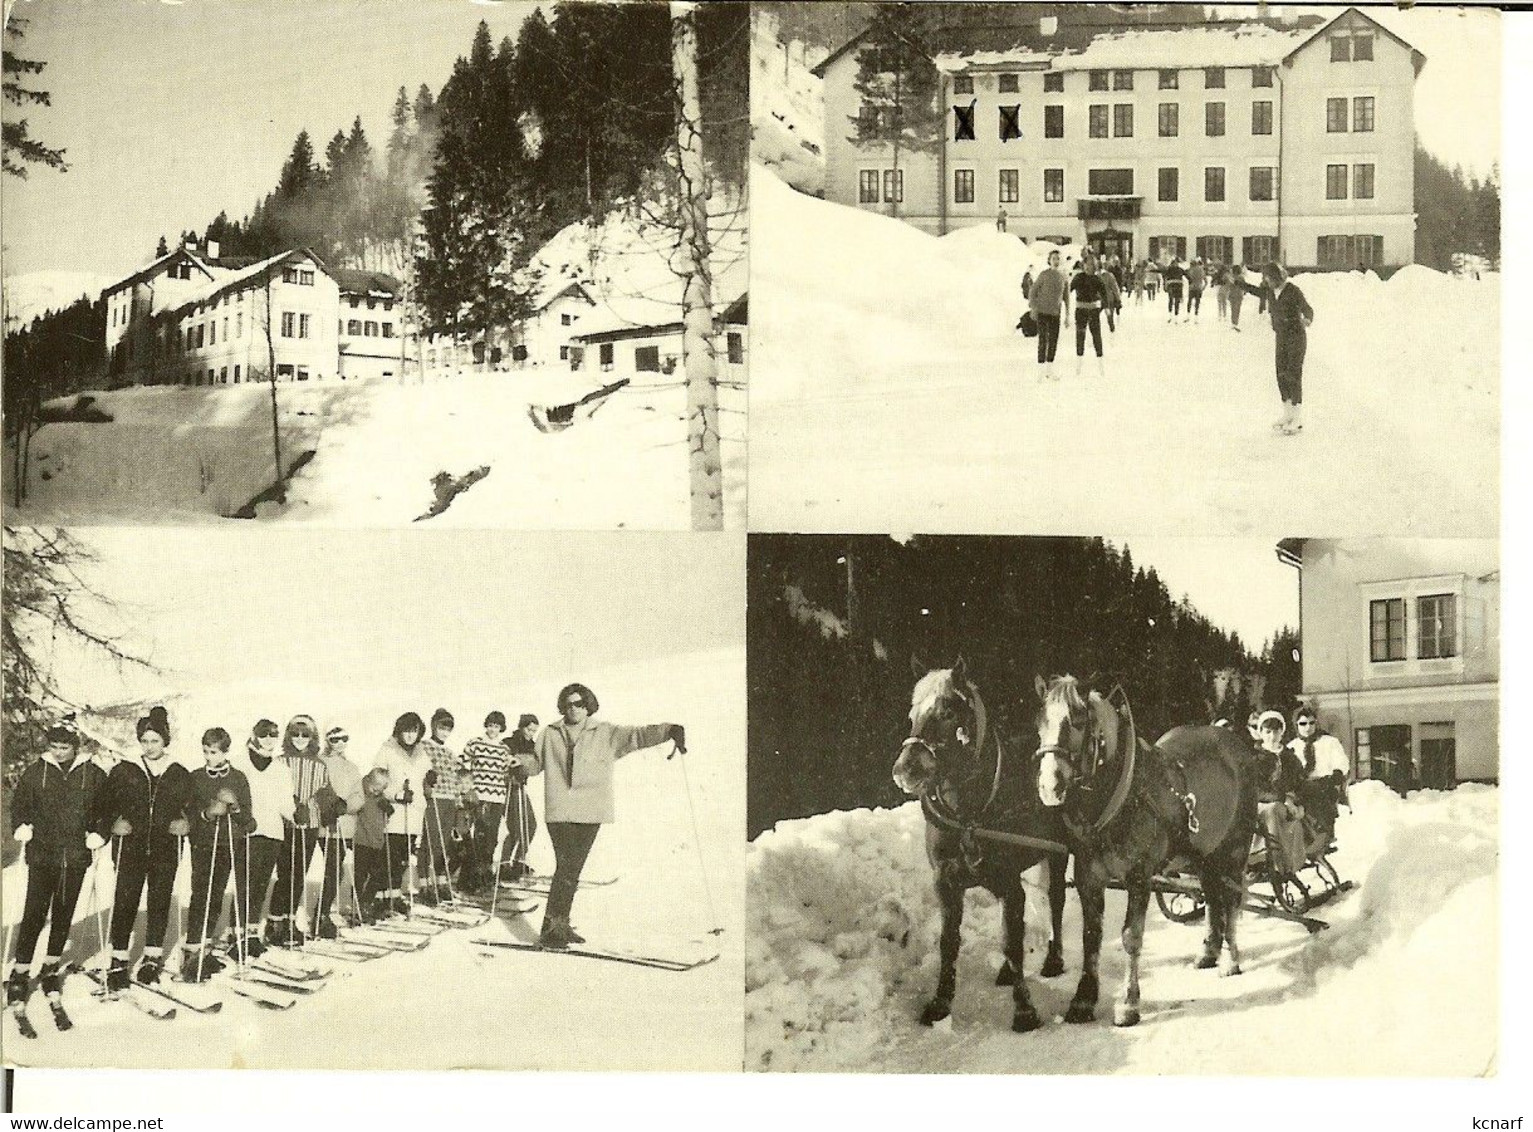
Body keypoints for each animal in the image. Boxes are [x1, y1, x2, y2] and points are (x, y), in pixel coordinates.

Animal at [895, 656, 1073, 1036]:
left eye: (948, 711)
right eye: (912, 712)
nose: (905, 769)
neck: (968, 815)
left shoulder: (1007, 881)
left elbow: (1012, 940)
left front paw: (1024, 1011)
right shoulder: (946, 882)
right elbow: (950, 943)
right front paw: (939, 1004)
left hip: (1058, 853)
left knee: (1055, 900)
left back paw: (1053, 959)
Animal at [1030, 674, 1257, 1024]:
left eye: (1078, 722)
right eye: (1040, 722)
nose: (1049, 786)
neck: (1122, 796)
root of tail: (1235, 744)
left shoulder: (1139, 877)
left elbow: (1130, 937)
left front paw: (1128, 1003)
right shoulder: (1088, 877)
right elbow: (1090, 937)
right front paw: (1083, 1000)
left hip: (1234, 849)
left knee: (1230, 899)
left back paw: (1231, 961)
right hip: (1204, 854)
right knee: (1211, 896)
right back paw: (1208, 952)